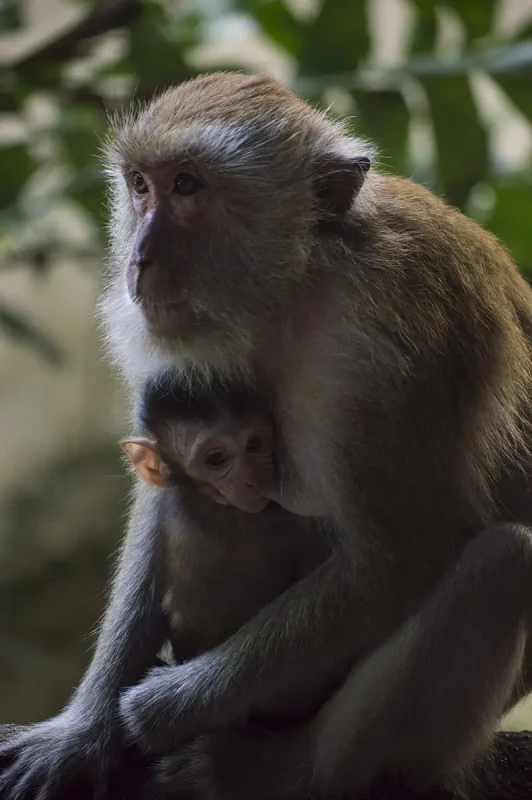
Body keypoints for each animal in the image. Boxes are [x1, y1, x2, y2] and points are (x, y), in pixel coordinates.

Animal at [2, 70, 532, 800]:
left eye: (188, 186)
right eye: (140, 186)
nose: (140, 259)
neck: (296, 286)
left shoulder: (394, 349)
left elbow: (402, 553)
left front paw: (165, 706)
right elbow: (161, 496)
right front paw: (84, 733)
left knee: (501, 565)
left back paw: (295, 765)